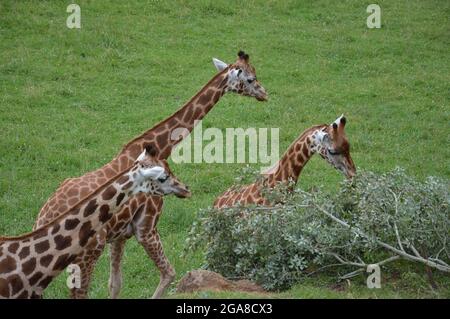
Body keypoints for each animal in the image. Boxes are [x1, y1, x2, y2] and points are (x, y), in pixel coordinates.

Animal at [34, 51, 268, 298]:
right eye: (251, 78)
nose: (265, 93)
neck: (160, 147)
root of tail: (44, 218)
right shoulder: (146, 227)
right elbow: (169, 273)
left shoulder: (119, 235)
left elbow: (115, 283)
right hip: (89, 252)